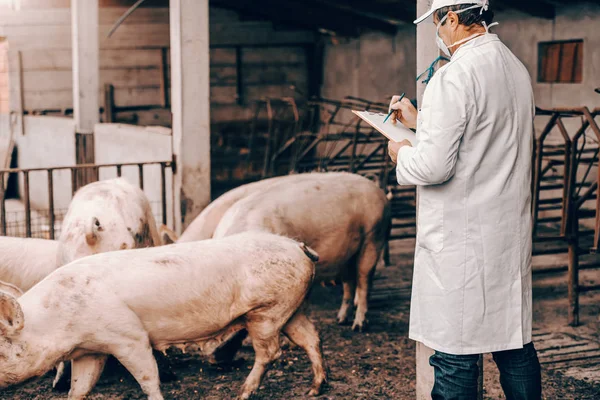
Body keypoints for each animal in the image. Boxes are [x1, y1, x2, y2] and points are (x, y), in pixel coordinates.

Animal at [0, 233, 324, 398]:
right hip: (292, 306)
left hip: (267, 310)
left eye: (3, 350)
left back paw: (242, 394)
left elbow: (147, 378)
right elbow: (79, 389)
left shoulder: (129, 337)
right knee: (311, 338)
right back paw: (314, 389)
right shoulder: (90, 351)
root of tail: (299, 246)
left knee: (270, 352)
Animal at [204, 172, 392, 332]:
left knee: (364, 280)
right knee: (349, 282)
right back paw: (340, 320)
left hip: (374, 236)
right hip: (347, 254)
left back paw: (358, 326)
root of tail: (379, 191)